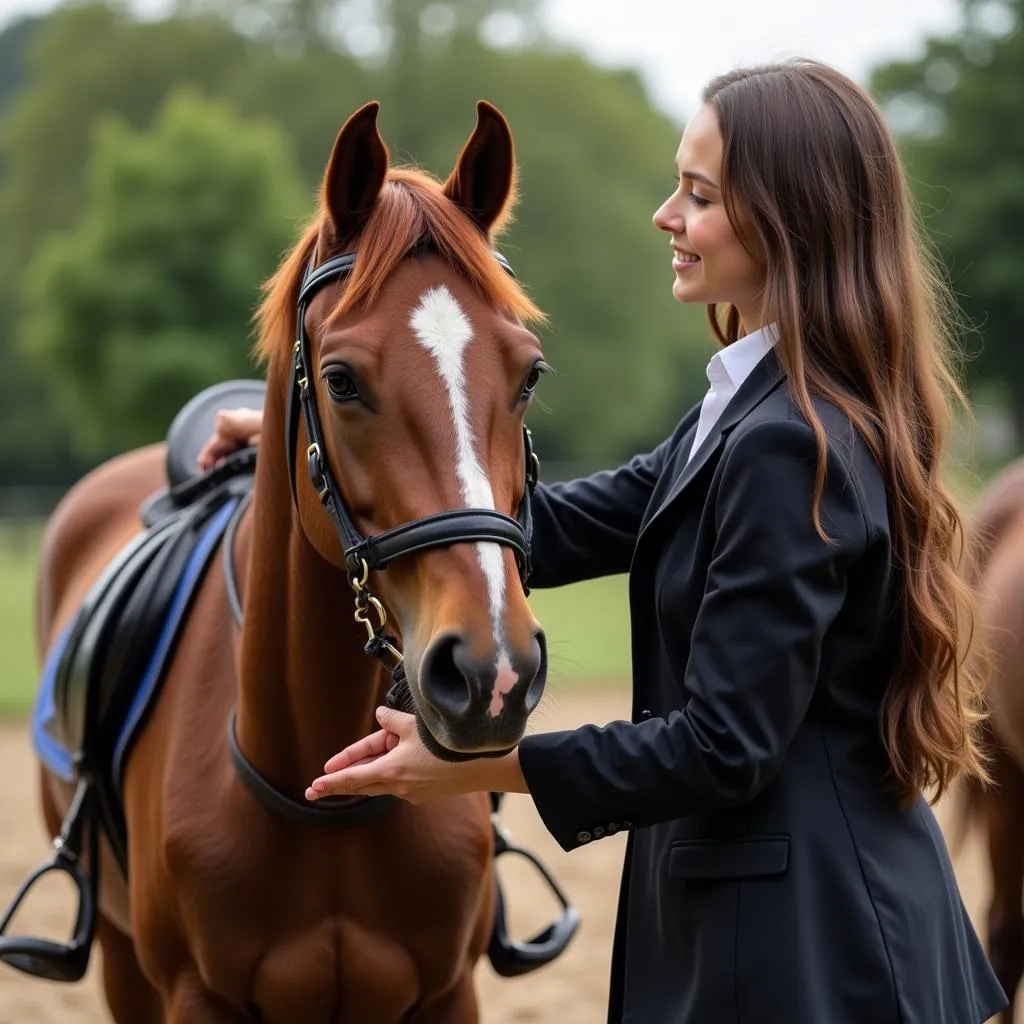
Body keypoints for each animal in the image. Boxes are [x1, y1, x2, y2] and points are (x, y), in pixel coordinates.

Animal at [14, 99, 552, 1019]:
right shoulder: (195, 995)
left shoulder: (448, 992)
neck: (320, 790)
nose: (492, 673)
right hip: (122, 960)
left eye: (529, 376)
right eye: (340, 381)